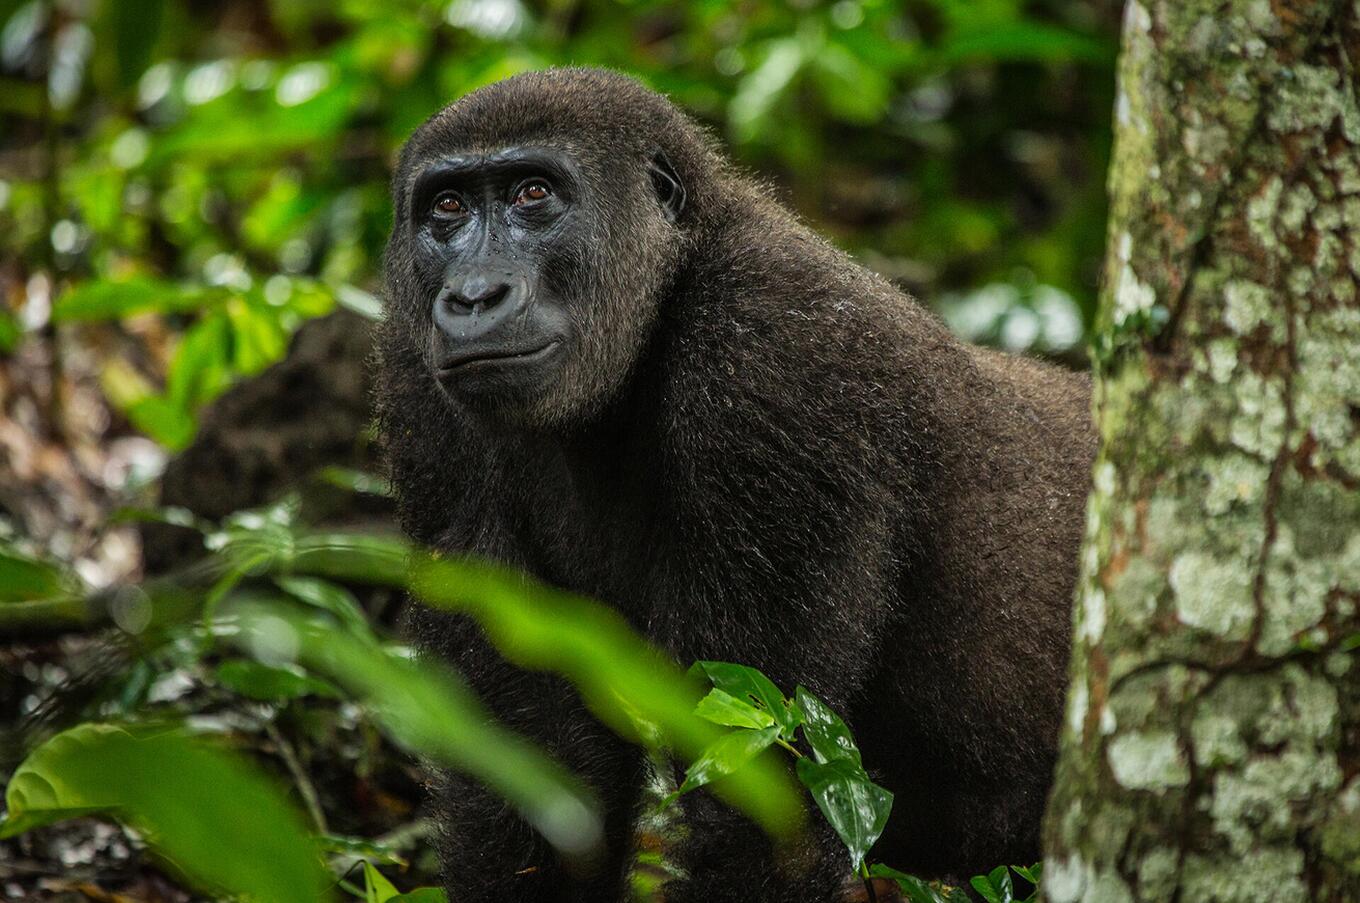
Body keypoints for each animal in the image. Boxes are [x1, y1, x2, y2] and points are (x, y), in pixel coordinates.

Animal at [378, 65, 1098, 903]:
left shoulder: (775, 355)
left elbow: (762, 801)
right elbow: (534, 768)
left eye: (533, 194)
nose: (472, 296)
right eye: (447, 208)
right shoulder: (414, 374)